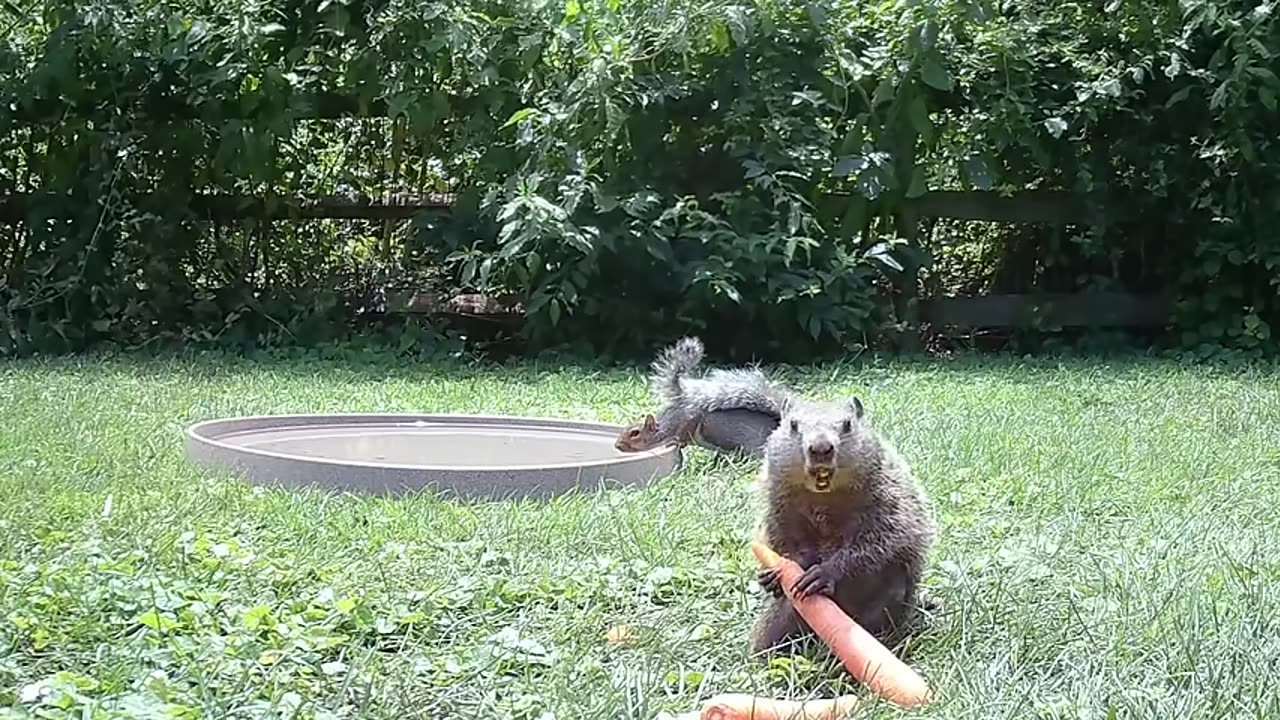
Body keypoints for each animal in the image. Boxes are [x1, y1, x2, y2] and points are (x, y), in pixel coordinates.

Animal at [614, 337, 793, 457]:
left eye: (635, 433)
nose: (617, 445)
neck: (665, 426)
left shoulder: (688, 419)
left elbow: (686, 430)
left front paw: (676, 442)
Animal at [750, 395, 935, 654]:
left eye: (848, 424)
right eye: (793, 425)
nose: (820, 448)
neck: (822, 496)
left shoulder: (887, 494)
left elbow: (881, 537)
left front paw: (824, 573)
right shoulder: (778, 500)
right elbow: (782, 538)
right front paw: (775, 574)